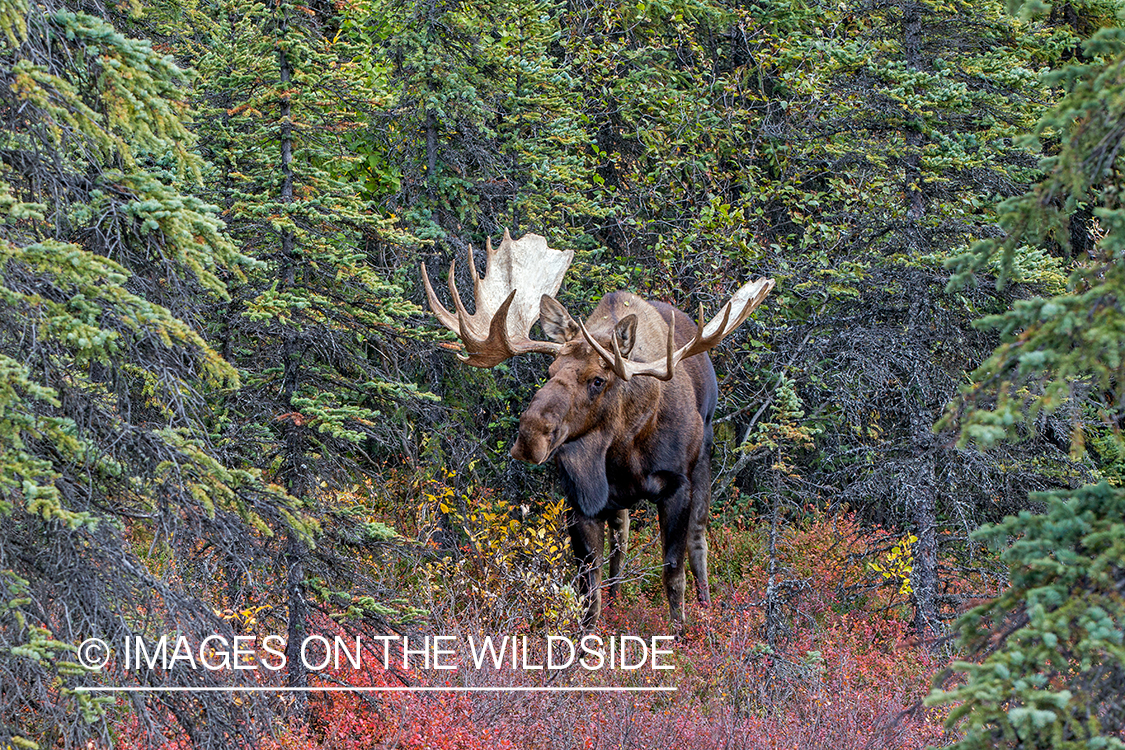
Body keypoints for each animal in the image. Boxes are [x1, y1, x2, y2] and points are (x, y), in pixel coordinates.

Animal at [423, 231, 774, 629]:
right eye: (550, 371)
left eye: (597, 380)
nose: (529, 437)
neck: (624, 448)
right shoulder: (580, 501)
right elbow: (587, 588)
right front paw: (587, 640)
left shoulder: (677, 486)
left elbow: (673, 572)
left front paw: (681, 633)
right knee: (621, 541)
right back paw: (618, 598)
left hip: (705, 457)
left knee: (698, 541)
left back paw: (706, 606)